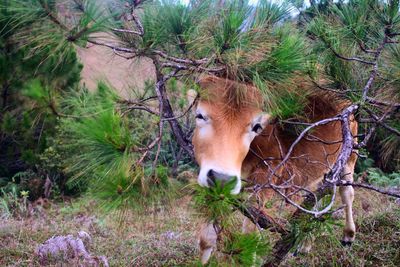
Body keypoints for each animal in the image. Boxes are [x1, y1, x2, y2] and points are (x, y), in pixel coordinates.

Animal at [188, 75, 360, 264]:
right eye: (200, 115)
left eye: (256, 126)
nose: (222, 178)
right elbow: (207, 238)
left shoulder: (265, 179)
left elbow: (251, 230)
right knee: (316, 198)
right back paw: (305, 244)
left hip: (349, 157)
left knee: (347, 193)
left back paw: (348, 235)